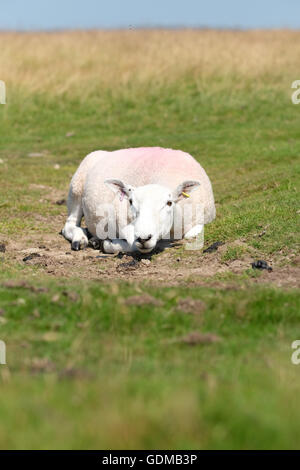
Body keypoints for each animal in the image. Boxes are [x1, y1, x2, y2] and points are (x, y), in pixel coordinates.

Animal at [61, 149, 216, 255]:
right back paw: (80, 239)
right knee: (69, 225)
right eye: (130, 202)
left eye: (169, 203)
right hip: (76, 187)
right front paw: (107, 244)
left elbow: (192, 233)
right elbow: (133, 245)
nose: (144, 237)